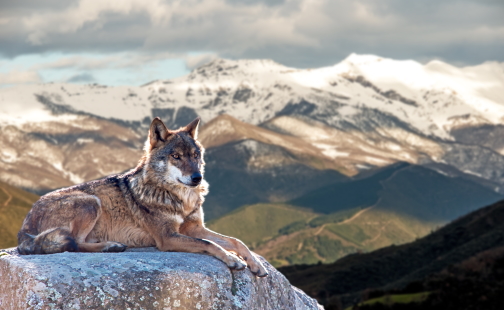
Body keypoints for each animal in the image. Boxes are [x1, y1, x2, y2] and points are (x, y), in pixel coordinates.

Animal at [16, 117, 268, 278]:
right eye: (176, 157)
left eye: (195, 155)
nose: (197, 178)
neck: (180, 199)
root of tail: (23, 227)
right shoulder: (168, 238)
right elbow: (209, 244)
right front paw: (233, 259)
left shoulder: (193, 228)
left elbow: (235, 241)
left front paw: (255, 264)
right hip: (90, 202)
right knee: (74, 243)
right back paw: (110, 246)